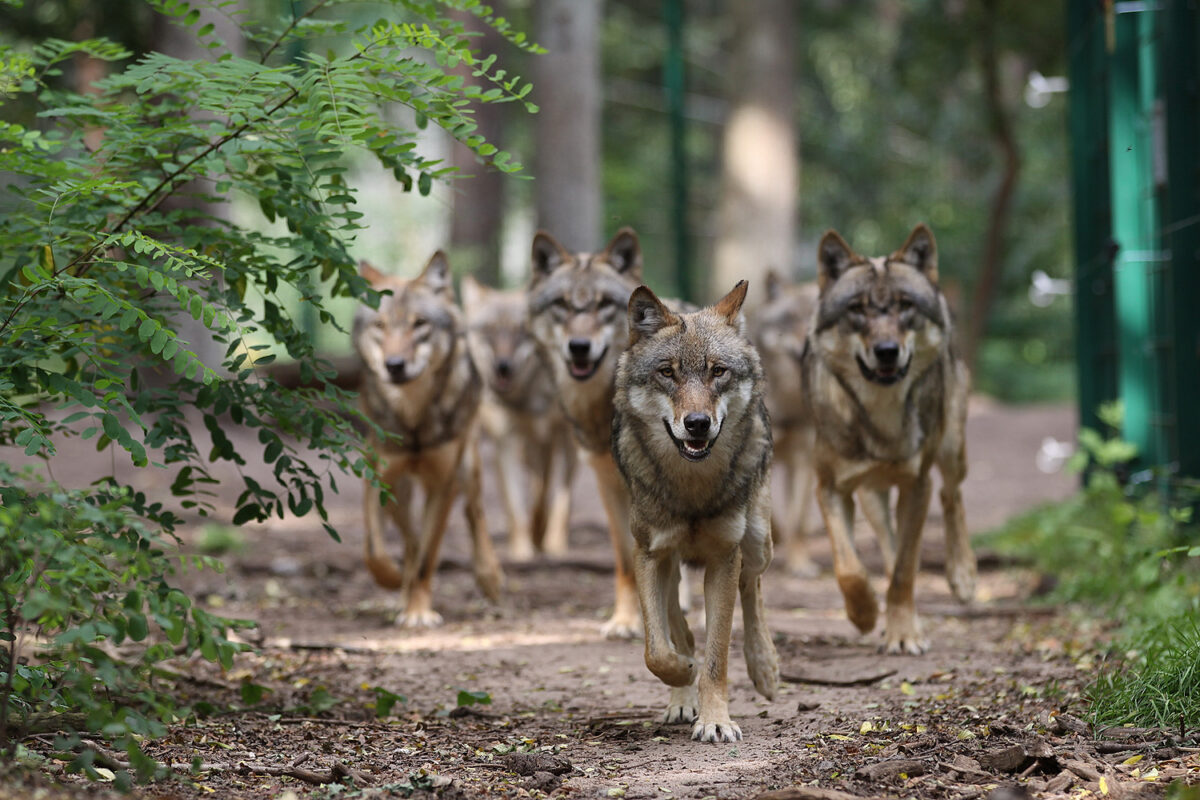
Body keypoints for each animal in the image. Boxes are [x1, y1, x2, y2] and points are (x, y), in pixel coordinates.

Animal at [353, 252, 504, 627]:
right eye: (380, 326)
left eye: (419, 324)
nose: (394, 365)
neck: (414, 420)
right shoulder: (380, 477)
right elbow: (379, 549)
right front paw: (395, 582)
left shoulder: (443, 484)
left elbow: (426, 556)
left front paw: (419, 612)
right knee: (409, 536)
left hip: (468, 465)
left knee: (474, 511)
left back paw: (489, 576)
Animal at [462, 277, 578, 561]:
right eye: (489, 330)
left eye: (519, 331)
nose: (503, 366)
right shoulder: (507, 441)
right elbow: (516, 507)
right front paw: (522, 550)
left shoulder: (563, 437)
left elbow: (557, 498)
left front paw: (553, 544)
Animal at [612, 280, 779, 743]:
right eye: (667, 373)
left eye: (717, 371)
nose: (698, 423)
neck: (691, 488)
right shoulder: (650, 554)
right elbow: (657, 650)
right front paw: (684, 676)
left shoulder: (724, 556)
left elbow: (717, 654)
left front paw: (716, 720)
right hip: (669, 562)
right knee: (677, 624)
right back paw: (682, 695)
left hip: (756, 541)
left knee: (753, 587)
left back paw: (765, 667)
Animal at [802, 224, 976, 654]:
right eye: (857, 309)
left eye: (904, 306)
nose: (886, 352)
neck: (881, 416)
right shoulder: (830, 489)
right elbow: (849, 568)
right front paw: (864, 614)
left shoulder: (917, 485)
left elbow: (903, 572)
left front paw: (903, 635)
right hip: (871, 497)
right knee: (888, 542)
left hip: (951, 450)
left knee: (950, 495)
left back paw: (963, 576)